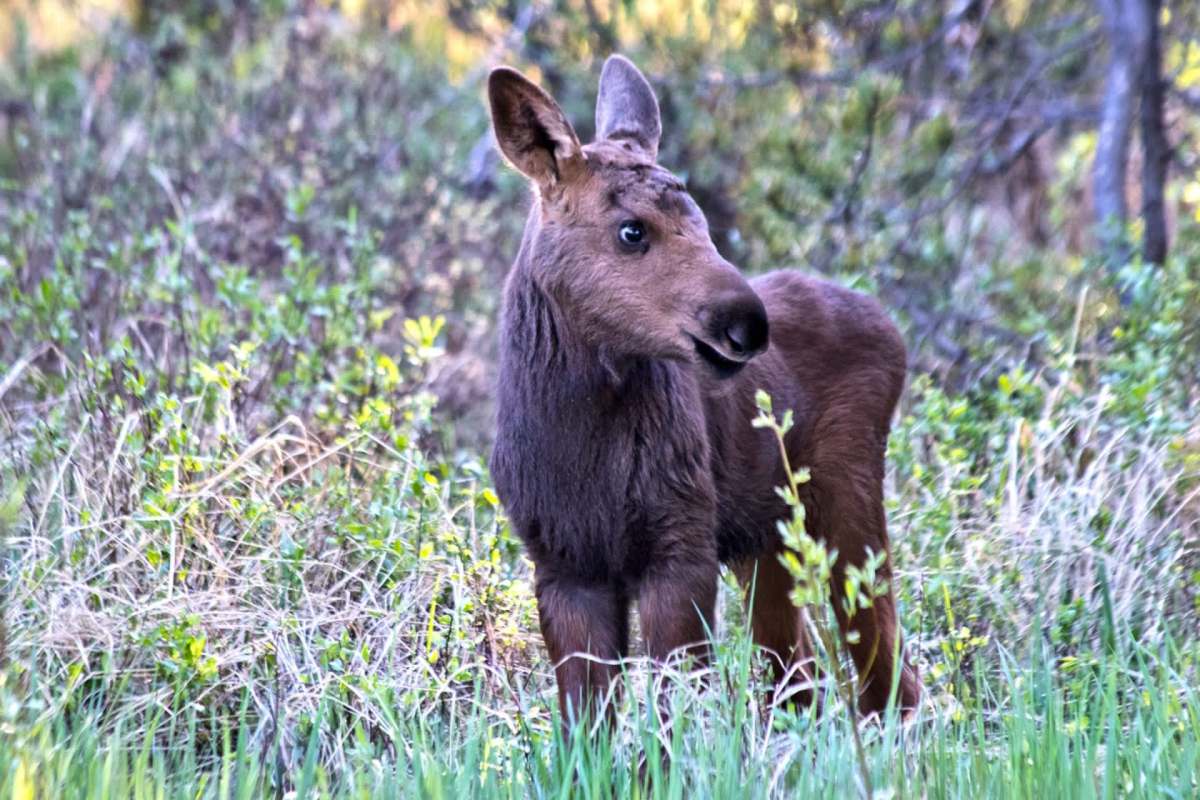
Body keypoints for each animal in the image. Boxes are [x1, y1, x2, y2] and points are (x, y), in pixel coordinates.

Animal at [487, 55, 921, 727]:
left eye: (703, 223)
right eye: (631, 231)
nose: (747, 323)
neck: (577, 439)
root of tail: (890, 327)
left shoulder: (680, 545)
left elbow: (678, 710)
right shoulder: (562, 564)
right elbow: (586, 722)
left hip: (846, 497)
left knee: (887, 669)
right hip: (766, 538)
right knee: (799, 675)